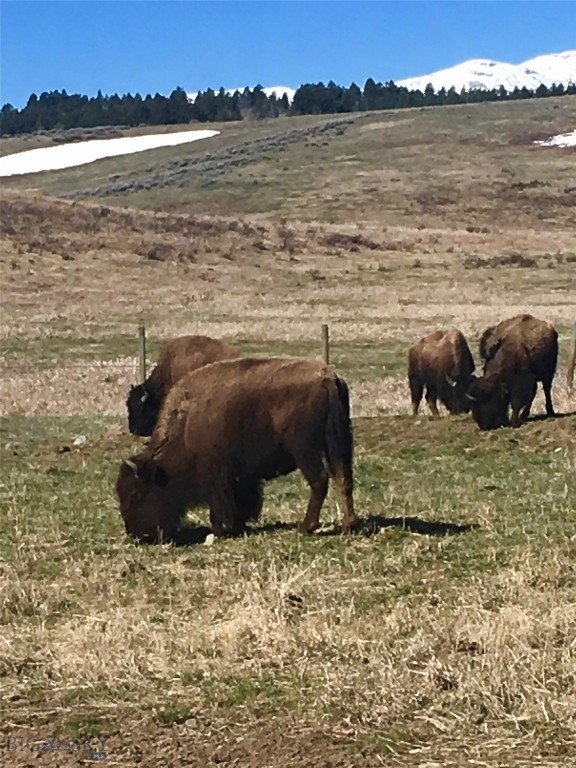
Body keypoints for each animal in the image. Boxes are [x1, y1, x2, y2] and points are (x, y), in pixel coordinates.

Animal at [116, 357, 358, 542]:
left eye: (135, 494)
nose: (137, 535)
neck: (186, 423)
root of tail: (327, 378)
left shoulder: (216, 474)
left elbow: (220, 504)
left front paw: (220, 530)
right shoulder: (242, 476)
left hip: (305, 450)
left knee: (320, 480)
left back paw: (306, 526)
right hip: (339, 442)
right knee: (344, 478)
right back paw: (349, 525)